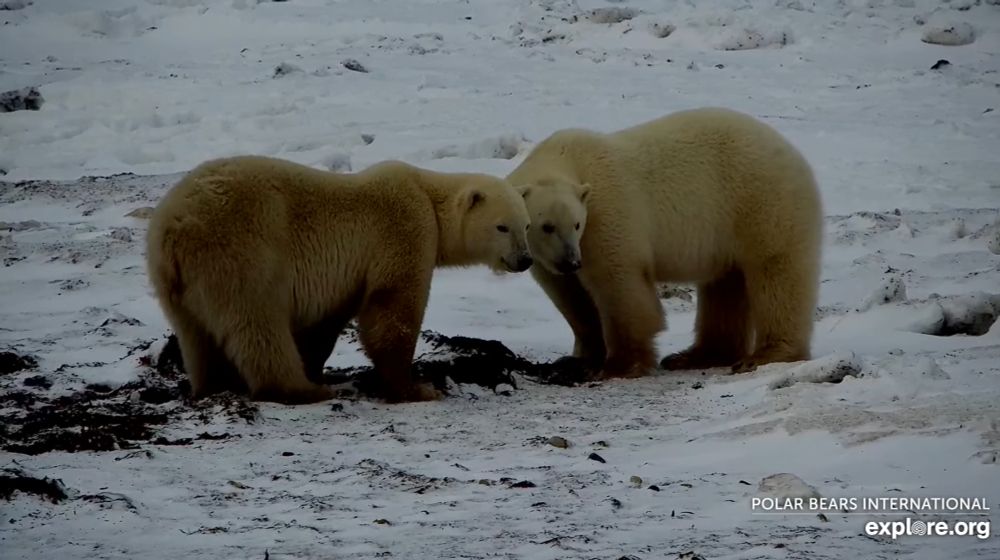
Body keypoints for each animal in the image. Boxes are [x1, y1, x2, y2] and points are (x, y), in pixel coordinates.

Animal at [146, 155, 533, 405]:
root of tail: (175, 227)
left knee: (195, 333)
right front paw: (417, 388)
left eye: (526, 225)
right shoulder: (403, 229)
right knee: (257, 321)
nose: (525, 259)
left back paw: (212, 384)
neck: (427, 193)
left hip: (173, 280)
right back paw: (301, 390)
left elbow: (326, 323)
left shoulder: (342, 279)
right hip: (240, 251)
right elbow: (392, 308)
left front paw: (317, 365)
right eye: (502, 227)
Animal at [507, 107, 823, 378]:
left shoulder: (607, 214)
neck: (568, 157)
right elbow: (572, 297)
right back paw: (695, 356)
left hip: (761, 202)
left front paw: (617, 366)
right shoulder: (546, 258)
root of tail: (794, 153)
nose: (571, 261)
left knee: (775, 273)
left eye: (576, 224)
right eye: (546, 226)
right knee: (725, 285)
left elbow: (619, 286)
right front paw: (579, 359)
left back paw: (765, 355)